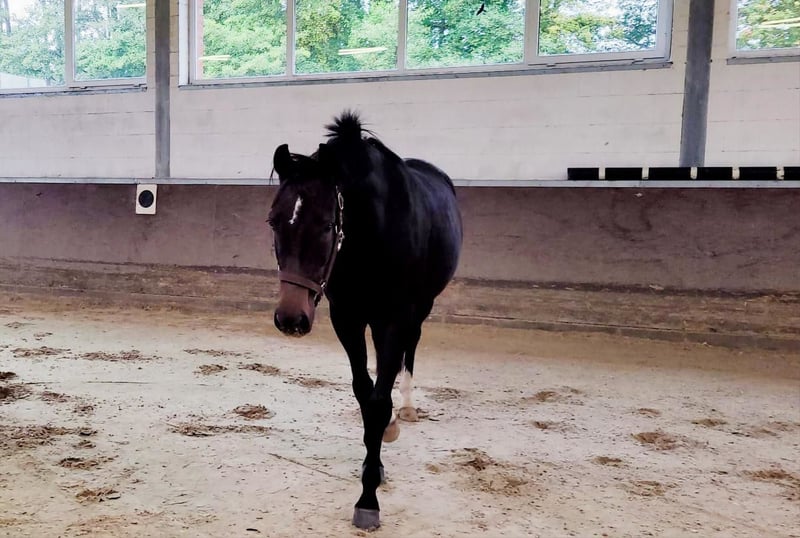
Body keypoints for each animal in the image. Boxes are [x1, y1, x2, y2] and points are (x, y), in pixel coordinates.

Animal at [268, 111, 463, 530]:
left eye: (327, 225)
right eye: (274, 222)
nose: (291, 318)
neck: (373, 236)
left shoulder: (395, 318)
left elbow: (378, 401)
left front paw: (368, 497)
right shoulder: (349, 317)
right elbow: (364, 391)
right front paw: (374, 460)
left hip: (420, 309)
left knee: (410, 350)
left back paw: (407, 406)